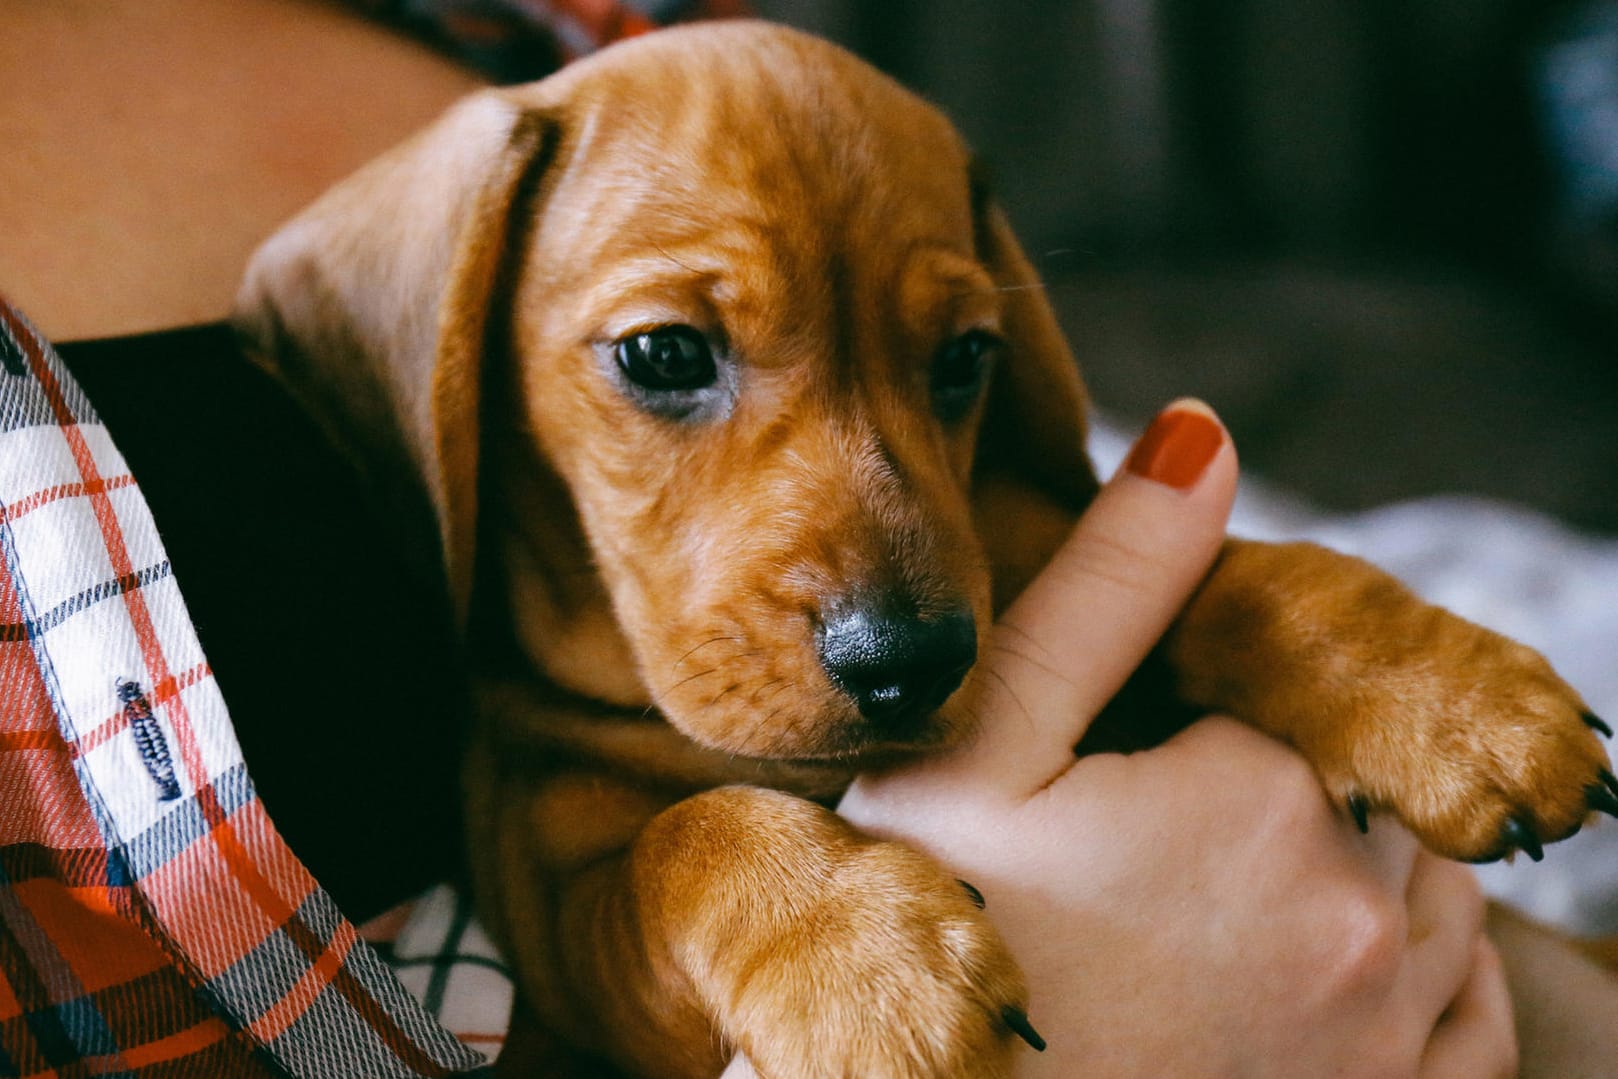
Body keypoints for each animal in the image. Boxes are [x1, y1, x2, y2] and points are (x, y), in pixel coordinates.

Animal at [234, 19, 1611, 1079]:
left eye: (964, 359)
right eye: (663, 353)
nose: (907, 661)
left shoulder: (1035, 556)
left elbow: (1250, 577)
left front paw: (1448, 699)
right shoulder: (564, 923)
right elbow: (690, 837)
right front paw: (861, 957)